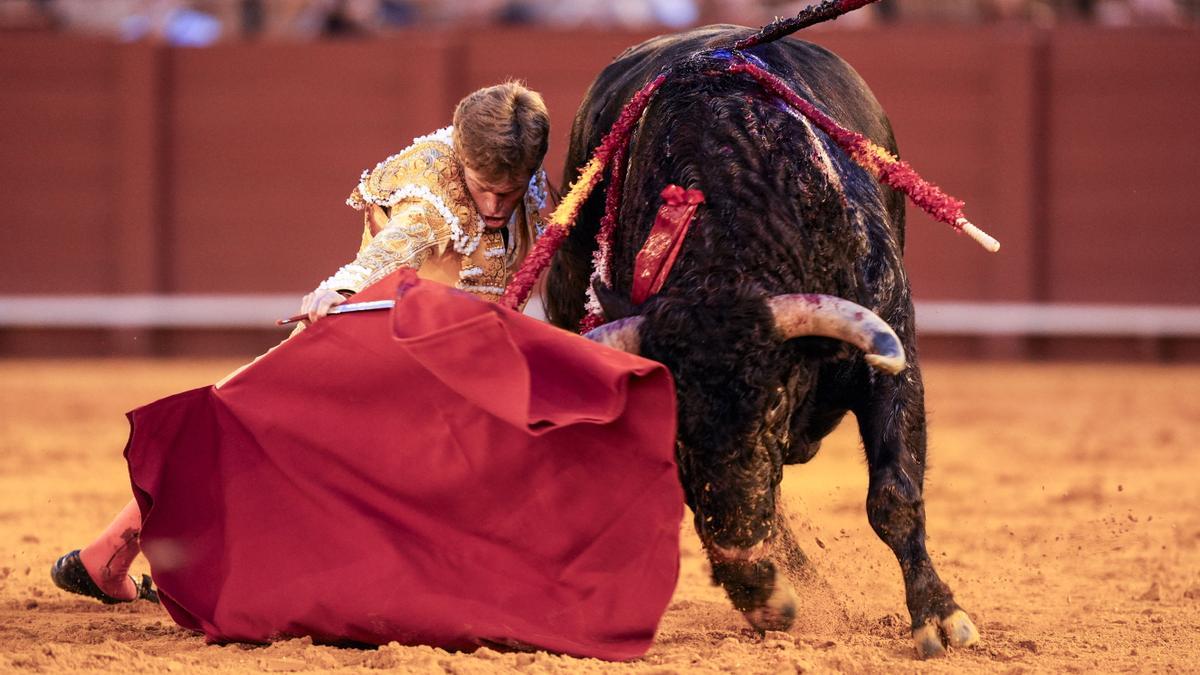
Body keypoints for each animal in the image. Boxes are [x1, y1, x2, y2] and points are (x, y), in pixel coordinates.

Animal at [544, 17, 984, 658]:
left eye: (774, 401)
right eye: (678, 420)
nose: (740, 548)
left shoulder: (891, 349)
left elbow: (893, 495)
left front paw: (941, 618)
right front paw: (762, 594)